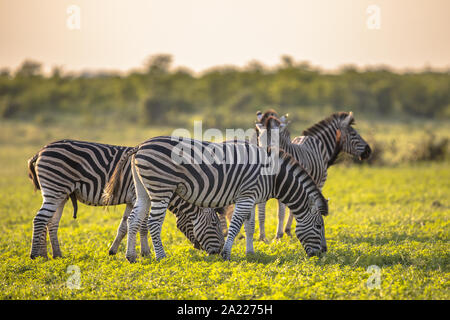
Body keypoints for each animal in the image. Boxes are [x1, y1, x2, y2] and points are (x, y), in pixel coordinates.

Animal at [27, 139, 224, 258]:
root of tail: (40, 151)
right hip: (54, 189)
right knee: (40, 219)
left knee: (51, 222)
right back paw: (36, 255)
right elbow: (143, 226)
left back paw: (54, 254)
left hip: (60, 195)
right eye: (214, 224)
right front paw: (145, 252)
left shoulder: (131, 201)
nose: (218, 252)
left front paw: (114, 250)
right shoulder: (140, 197)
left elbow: (124, 226)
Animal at [103, 136, 328, 262]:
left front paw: (250, 253)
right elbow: (236, 225)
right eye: (319, 227)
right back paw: (161, 257)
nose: (323, 254)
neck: (272, 175)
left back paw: (131, 257)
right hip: (161, 188)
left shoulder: (249, 197)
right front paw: (227, 254)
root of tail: (139, 146)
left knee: (134, 219)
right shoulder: (247, 196)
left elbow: (249, 226)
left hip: (143, 190)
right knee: (153, 223)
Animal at [255, 110, 370, 240]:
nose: (368, 151)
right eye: (353, 133)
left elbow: (283, 210)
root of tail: (308, 137)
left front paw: (279, 235)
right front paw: (267, 237)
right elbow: (267, 210)